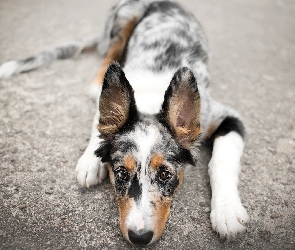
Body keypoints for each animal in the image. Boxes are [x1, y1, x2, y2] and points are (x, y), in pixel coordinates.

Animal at [0, 0, 250, 246]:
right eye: (120, 173)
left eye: (165, 174)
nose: (139, 237)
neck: (150, 101)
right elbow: (100, 122)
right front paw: (90, 161)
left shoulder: (227, 117)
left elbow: (221, 161)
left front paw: (227, 212)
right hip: (125, 18)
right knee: (110, 53)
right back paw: (96, 84)